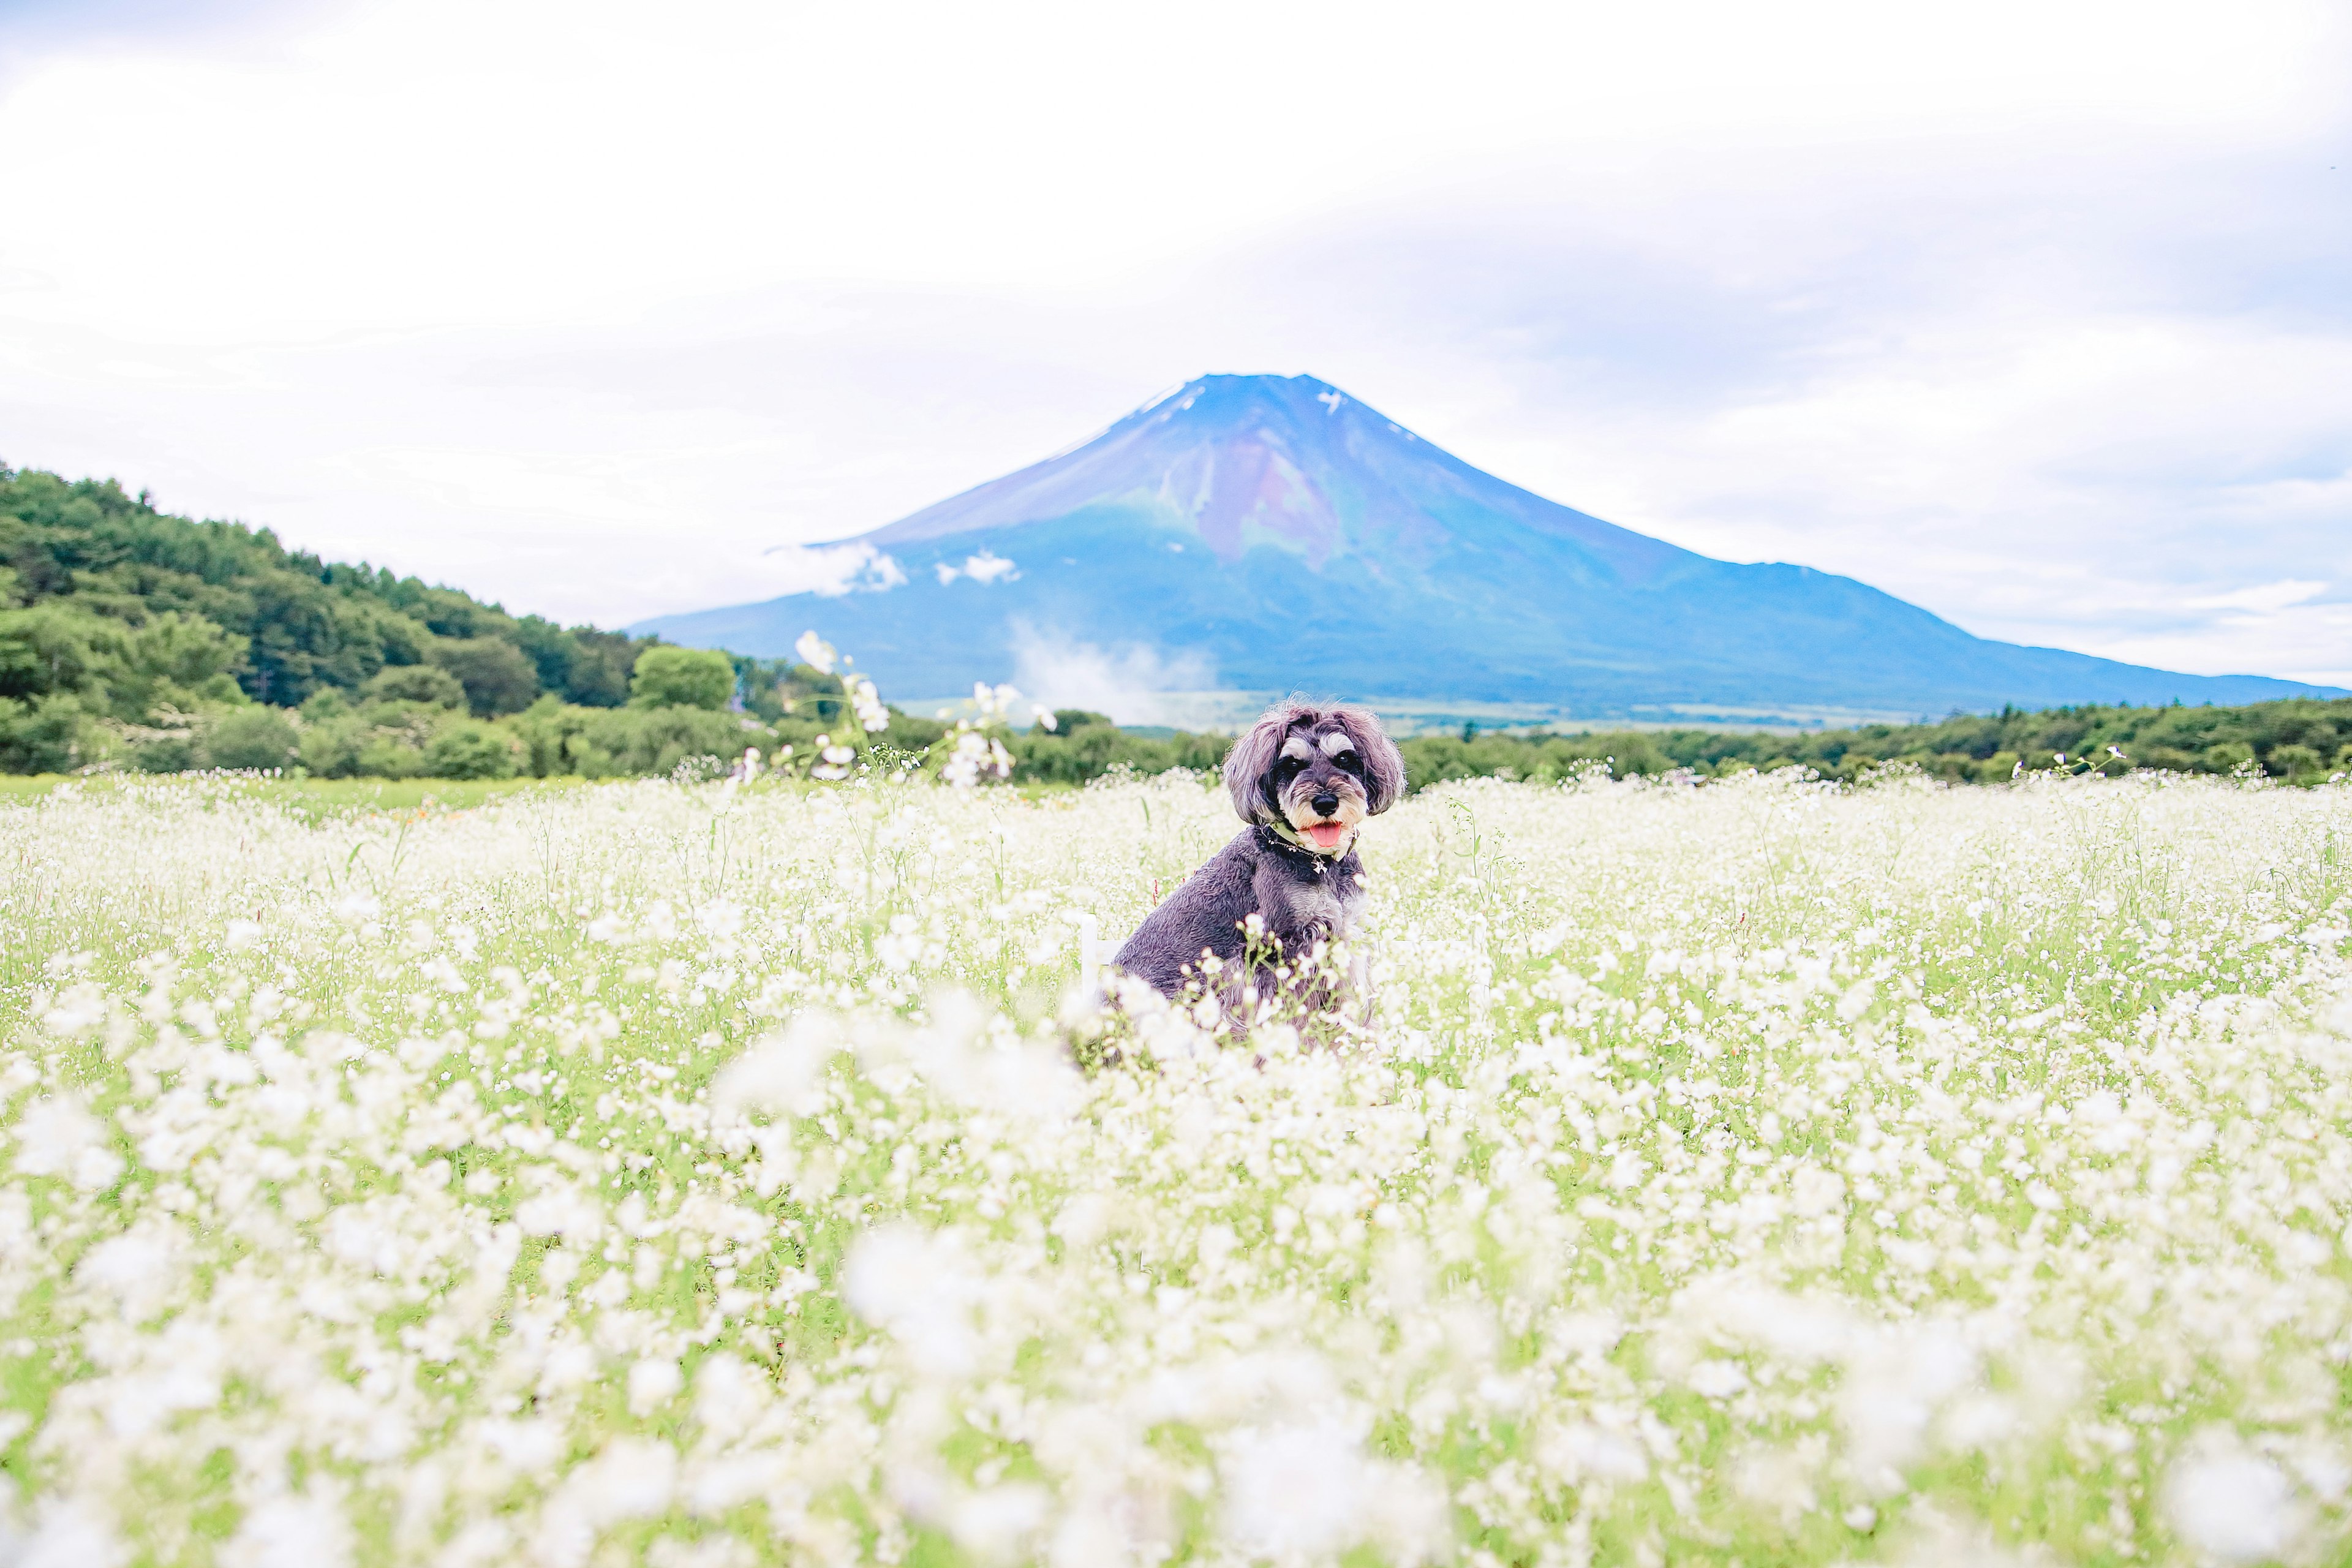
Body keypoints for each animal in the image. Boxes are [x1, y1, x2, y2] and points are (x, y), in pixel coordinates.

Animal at [1110, 696, 1401, 1006]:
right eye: (1292, 764)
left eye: (1344, 758)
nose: (1325, 803)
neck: (1316, 859)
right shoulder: (1286, 943)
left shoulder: (1347, 929)